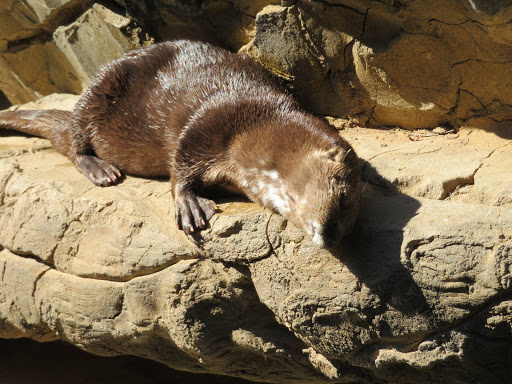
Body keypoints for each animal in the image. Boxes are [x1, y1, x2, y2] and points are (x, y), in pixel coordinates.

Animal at [0, 40, 360, 248]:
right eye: (296, 195)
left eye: (345, 205)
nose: (327, 234)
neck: (258, 121)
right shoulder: (207, 125)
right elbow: (180, 165)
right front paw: (190, 206)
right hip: (98, 92)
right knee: (74, 140)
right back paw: (101, 169)